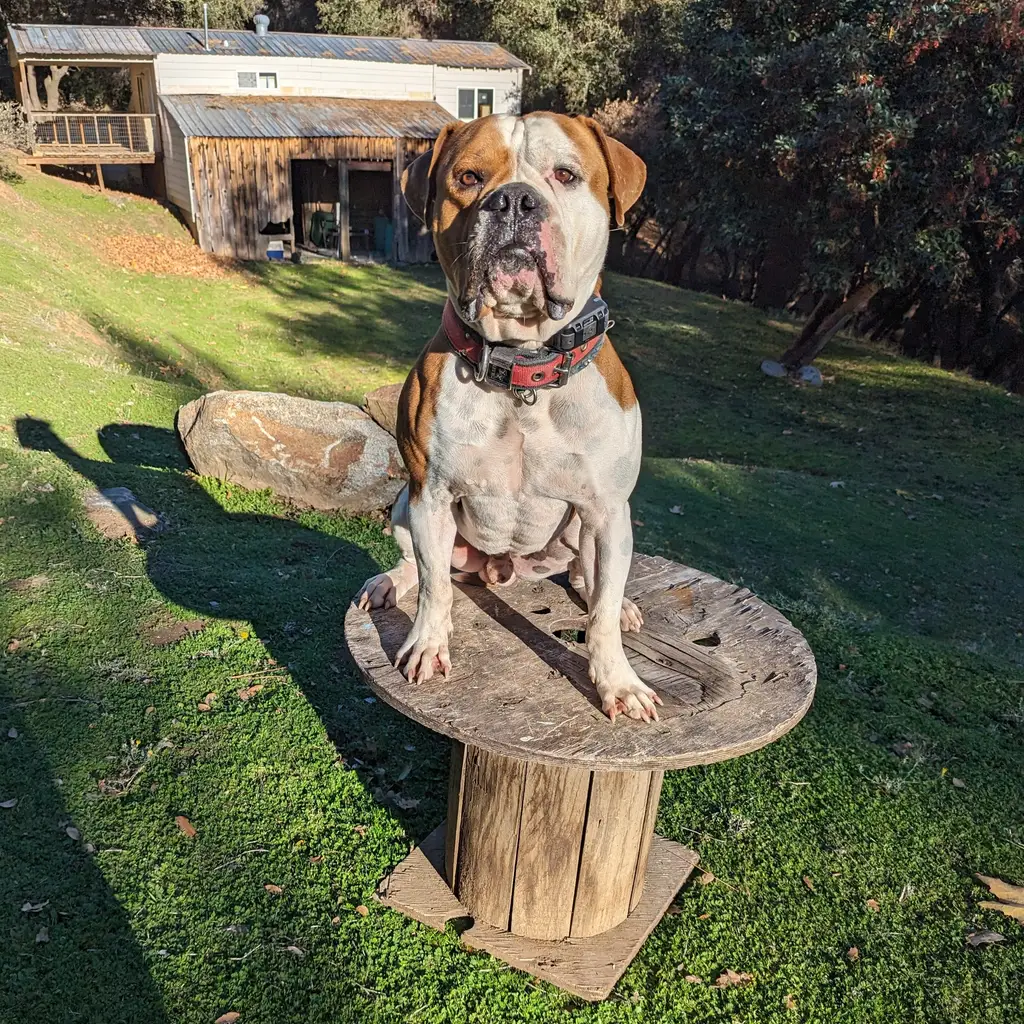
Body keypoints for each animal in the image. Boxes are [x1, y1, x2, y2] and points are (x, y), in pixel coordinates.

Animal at [354, 110, 663, 720]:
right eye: (469, 178)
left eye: (566, 175)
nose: (514, 200)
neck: (524, 365)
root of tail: (502, 569)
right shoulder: (431, 496)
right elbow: (436, 588)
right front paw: (427, 645)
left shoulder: (608, 511)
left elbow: (600, 617)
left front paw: (618, 682)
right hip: (404, 506)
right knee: (421, 567)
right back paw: (388, 583)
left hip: (587, 529)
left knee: (590, 578)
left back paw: (618, 604)